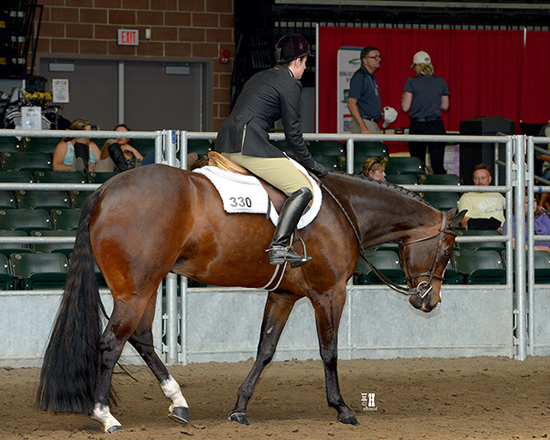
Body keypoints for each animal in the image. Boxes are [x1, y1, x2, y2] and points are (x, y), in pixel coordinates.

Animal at [35, 164, 466, 434]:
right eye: (447, 251)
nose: (429, 301)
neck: (345, 212)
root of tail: (106, 189)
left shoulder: (284, 295)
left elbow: (265, 349)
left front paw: (240, 408)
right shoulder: (330, 293)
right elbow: (329, 352)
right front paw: (342, 408)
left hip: (146, 286)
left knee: (140, 338)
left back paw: (178, 401)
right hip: (136, 288)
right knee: (111, 343)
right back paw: (105, 415)